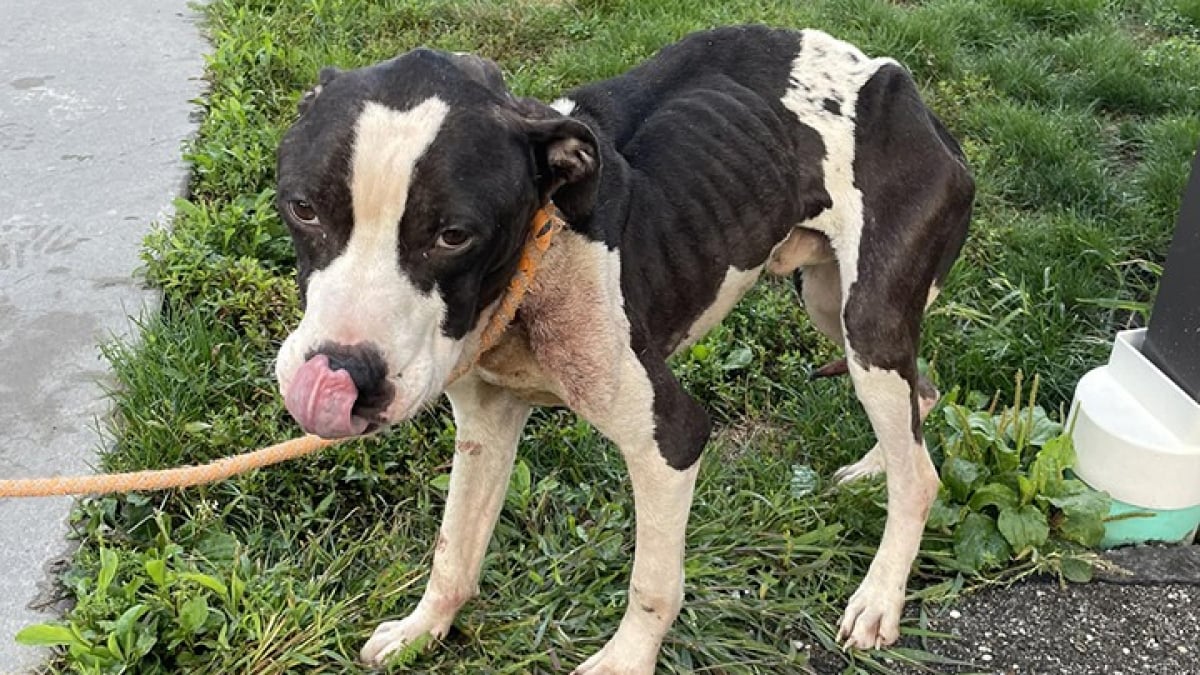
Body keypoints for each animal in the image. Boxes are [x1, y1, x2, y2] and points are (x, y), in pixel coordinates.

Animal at [276, 24, 969, 667]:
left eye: (453, 235)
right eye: (302, 208)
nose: (343, 373)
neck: (535, 265)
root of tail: (902, 88)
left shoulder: (670, 440)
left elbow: (653, 585)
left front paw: (625, 661)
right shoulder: (485, 422)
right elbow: (455, 549)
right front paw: (422, 630)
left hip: (868, 325)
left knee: (921, 476)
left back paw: (879, 596)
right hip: (834, 308)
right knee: (920, 400)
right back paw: (874, 468)